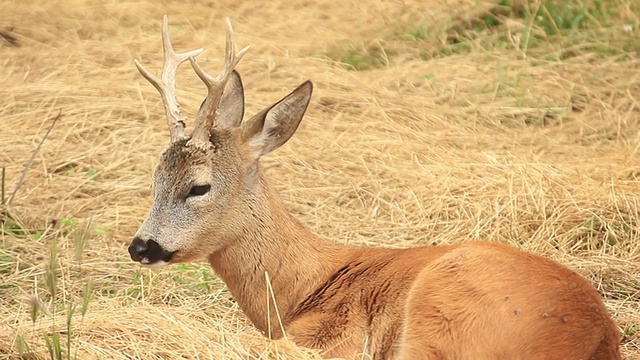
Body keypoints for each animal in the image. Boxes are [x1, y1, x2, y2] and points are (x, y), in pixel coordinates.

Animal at [127, 16, 624, 360]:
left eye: (199, 187)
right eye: (154, 179)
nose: (140, 246)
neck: (301, 289)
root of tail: (593, 337)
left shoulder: (334, 338)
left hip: (439, 309)